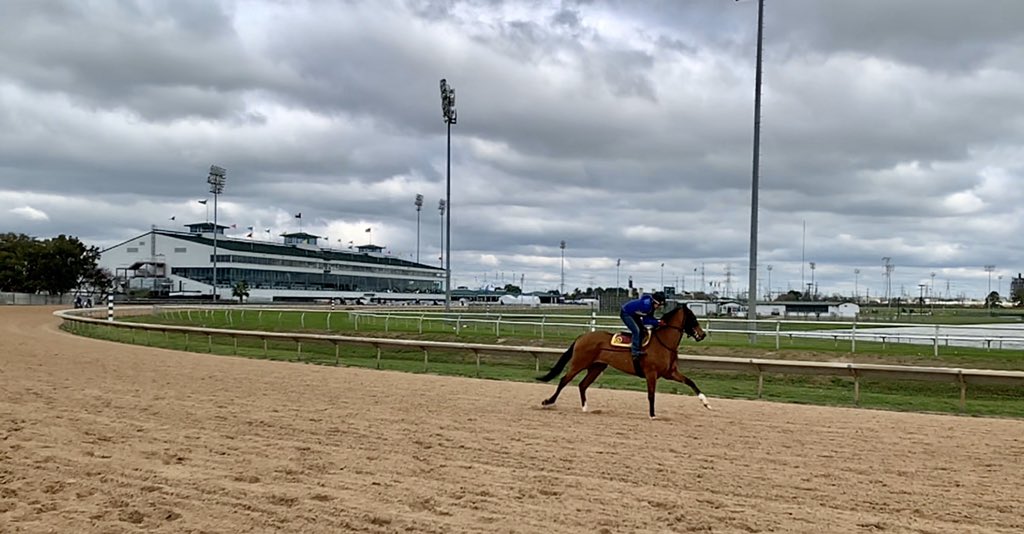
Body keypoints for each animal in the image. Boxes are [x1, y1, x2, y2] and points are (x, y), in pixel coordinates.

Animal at [536, 304, 710, 418]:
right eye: (692, 318)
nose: (702, 334)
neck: (663, 343)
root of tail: (582, 336)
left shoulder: (670, 373)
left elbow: (691, 382)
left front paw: (706, 403)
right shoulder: (651, 373)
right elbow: (651, 394)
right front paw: (652, 415)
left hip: (597, 367)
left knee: (582, 385)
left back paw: (585, 408)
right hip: (579, 363)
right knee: (564, 380)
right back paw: (548, 401)